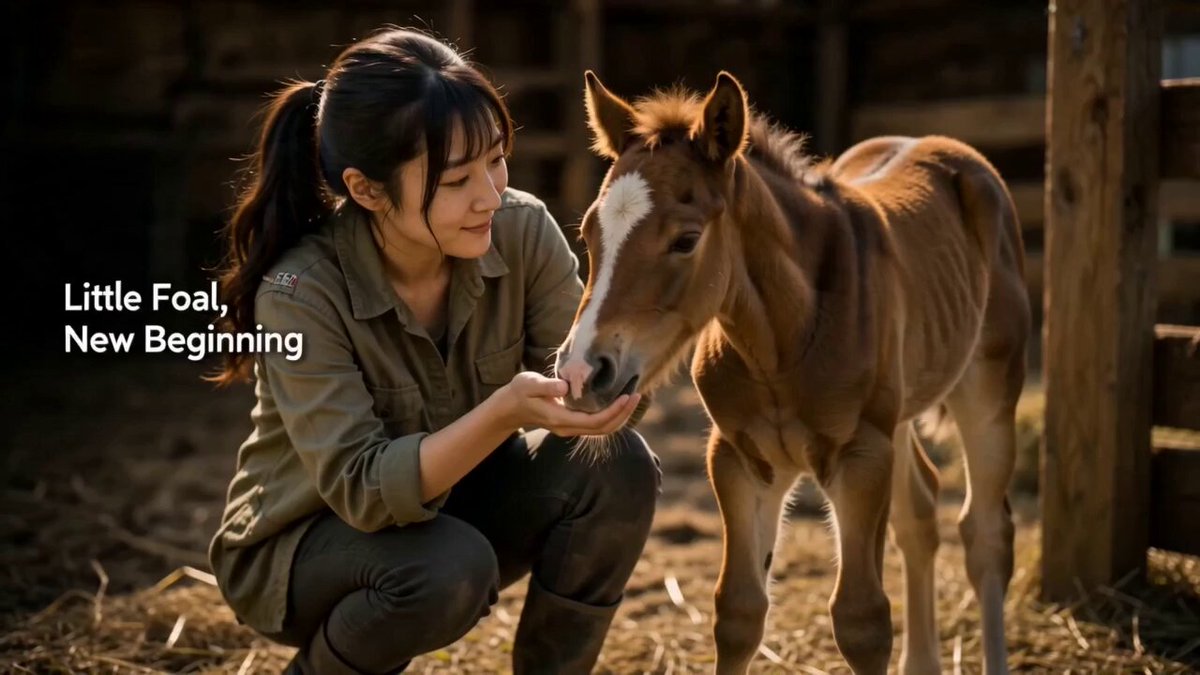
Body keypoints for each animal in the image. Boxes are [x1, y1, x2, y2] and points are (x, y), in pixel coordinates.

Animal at [554, 70, 1029, 675]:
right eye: (590, 233)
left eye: (686, 239)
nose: (582, 372)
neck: (781, 344)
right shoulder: (740, 459)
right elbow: (738, 612)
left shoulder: (860, 456)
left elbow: (862, 620)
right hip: (900, 414)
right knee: (920, 515)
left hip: (988, 388)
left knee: (987, 533)